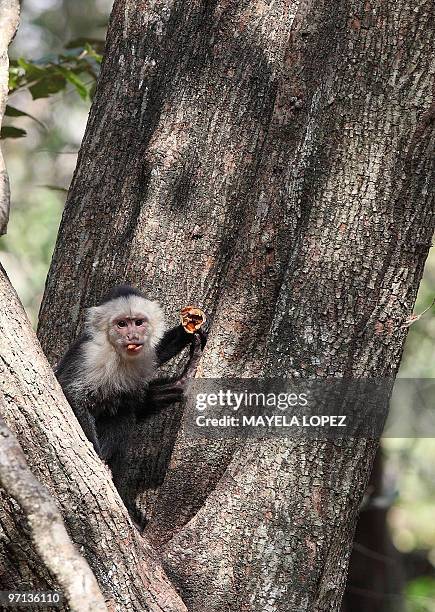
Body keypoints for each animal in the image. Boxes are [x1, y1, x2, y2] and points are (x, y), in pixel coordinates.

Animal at [56, 286, 204, 488]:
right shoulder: (91, 355)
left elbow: (155, 355)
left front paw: (186, 331)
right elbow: (72, 394)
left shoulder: (143, 353)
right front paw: (97, 457)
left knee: (125, 411)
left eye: (138, 322)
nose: (132, 336)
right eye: (121, 324)